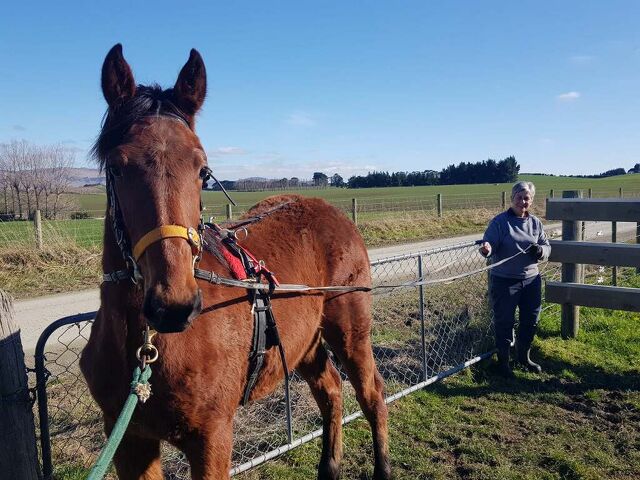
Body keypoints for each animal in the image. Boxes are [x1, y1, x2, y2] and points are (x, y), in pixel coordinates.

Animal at [80, 44, 392, 480]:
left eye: (202, 170)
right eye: (116, 166)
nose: (172, 304)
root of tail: (333, 212)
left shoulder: (211, 437)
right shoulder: (130, 439)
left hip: (351, 330)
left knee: (372, 394)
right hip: (303, 341)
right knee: (330, 389)